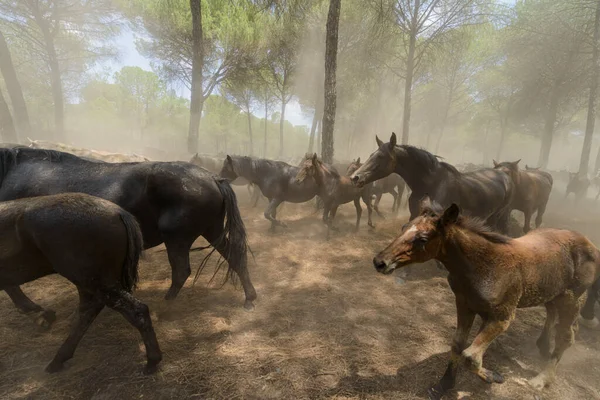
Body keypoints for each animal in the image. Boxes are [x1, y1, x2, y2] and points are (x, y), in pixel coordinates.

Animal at [0, 148, 255, 328]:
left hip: (177, 238)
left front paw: (37, 312)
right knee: (234, 256)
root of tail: (213, 178)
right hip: (211, 231)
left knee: (182, 271)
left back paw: (166, 308)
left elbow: (11, 284)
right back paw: (250, 297)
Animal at [0, 194, 162, 376]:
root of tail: (118, 212)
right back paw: (59, 358)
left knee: (135, 310)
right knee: (88, 311)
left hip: (95, 282)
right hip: (91, 283)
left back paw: (152, 360)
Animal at [352, 132, 516, 231]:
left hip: (498, 215)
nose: (355, 177)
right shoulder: (414, 215)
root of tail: (504, 174)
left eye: (381, 156)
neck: (431, 185)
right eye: (371, 155)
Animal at [372, 198, 596, 400]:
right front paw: (444, 385)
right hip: (553, 293)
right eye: (403, 227)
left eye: (423, 239)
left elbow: (470, 355)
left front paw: (493, 377)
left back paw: (542, 379)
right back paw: (542, 345)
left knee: (567, 335)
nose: (380, 262)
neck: (483, 265)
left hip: (572, 298)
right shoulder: (465, 305)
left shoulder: (503, 317)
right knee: (551, 313)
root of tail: (591, 244)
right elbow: (458, 344)